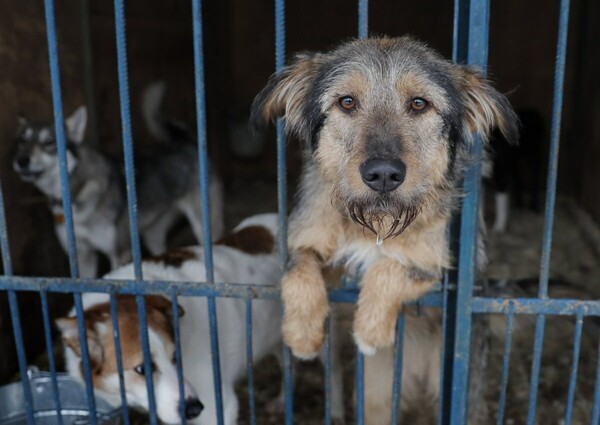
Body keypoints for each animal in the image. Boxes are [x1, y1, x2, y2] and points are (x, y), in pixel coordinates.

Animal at [14, 83, 225, 276]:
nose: (21, 160)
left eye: (49, 142)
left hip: (204, 224)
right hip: (153, 233)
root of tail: (185, 142)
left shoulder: (120, 252)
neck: (77, 192)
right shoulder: (82, 256)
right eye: (21, 140)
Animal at [57, 214, 346, 422]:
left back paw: (335, 411)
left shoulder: (220, 405)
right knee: (288, 364)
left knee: (333, 371)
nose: (193, 409)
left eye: (177, 356)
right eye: (141, 369)